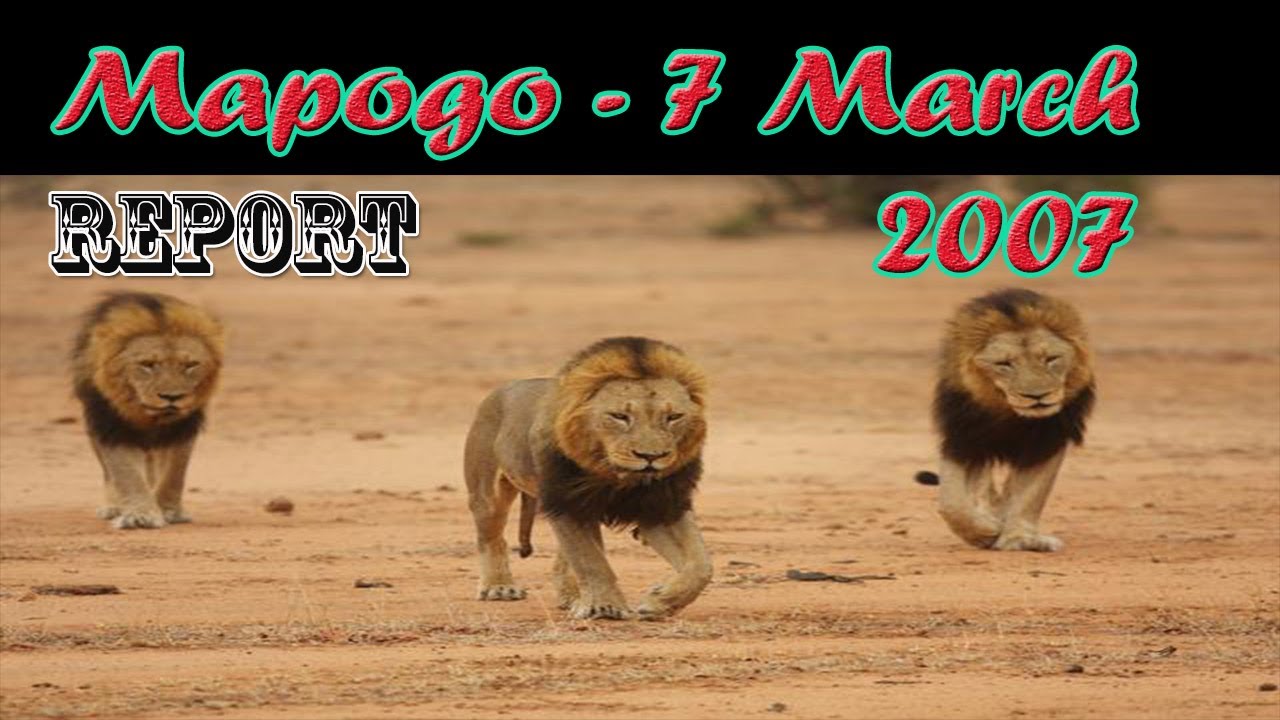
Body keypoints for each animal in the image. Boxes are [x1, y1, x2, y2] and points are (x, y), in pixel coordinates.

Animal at [72, 292, 225, 530]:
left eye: (190, 365)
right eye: (147, 364)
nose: (172, 397)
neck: (148, 417)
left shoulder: (184, 428)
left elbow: (174, 474)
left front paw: (169, 511)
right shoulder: (110, 426)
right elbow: (126, 473)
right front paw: (140, 515)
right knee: (109, 473)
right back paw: (113, 506)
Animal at [463, 337, 712, 620]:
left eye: (673, 417)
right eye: (619, 416)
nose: (650, 456)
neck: (615, 476)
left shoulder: (661, 505)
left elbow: (701, 565)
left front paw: (659, 602)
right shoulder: (567, 503)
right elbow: (591, 561)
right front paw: (605, 607)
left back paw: (572, 597)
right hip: (487, 493)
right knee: (491, 537)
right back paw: (499, 587)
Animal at [914, 288, 1095, 552]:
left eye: (1051, 359)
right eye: (1004, 364)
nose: (1037, 396)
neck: (1009, 414)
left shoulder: (1048, 441)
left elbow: (1030, 494)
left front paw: (1019, 538)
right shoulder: (963, 439)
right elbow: (951, 502)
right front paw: (983, 533)